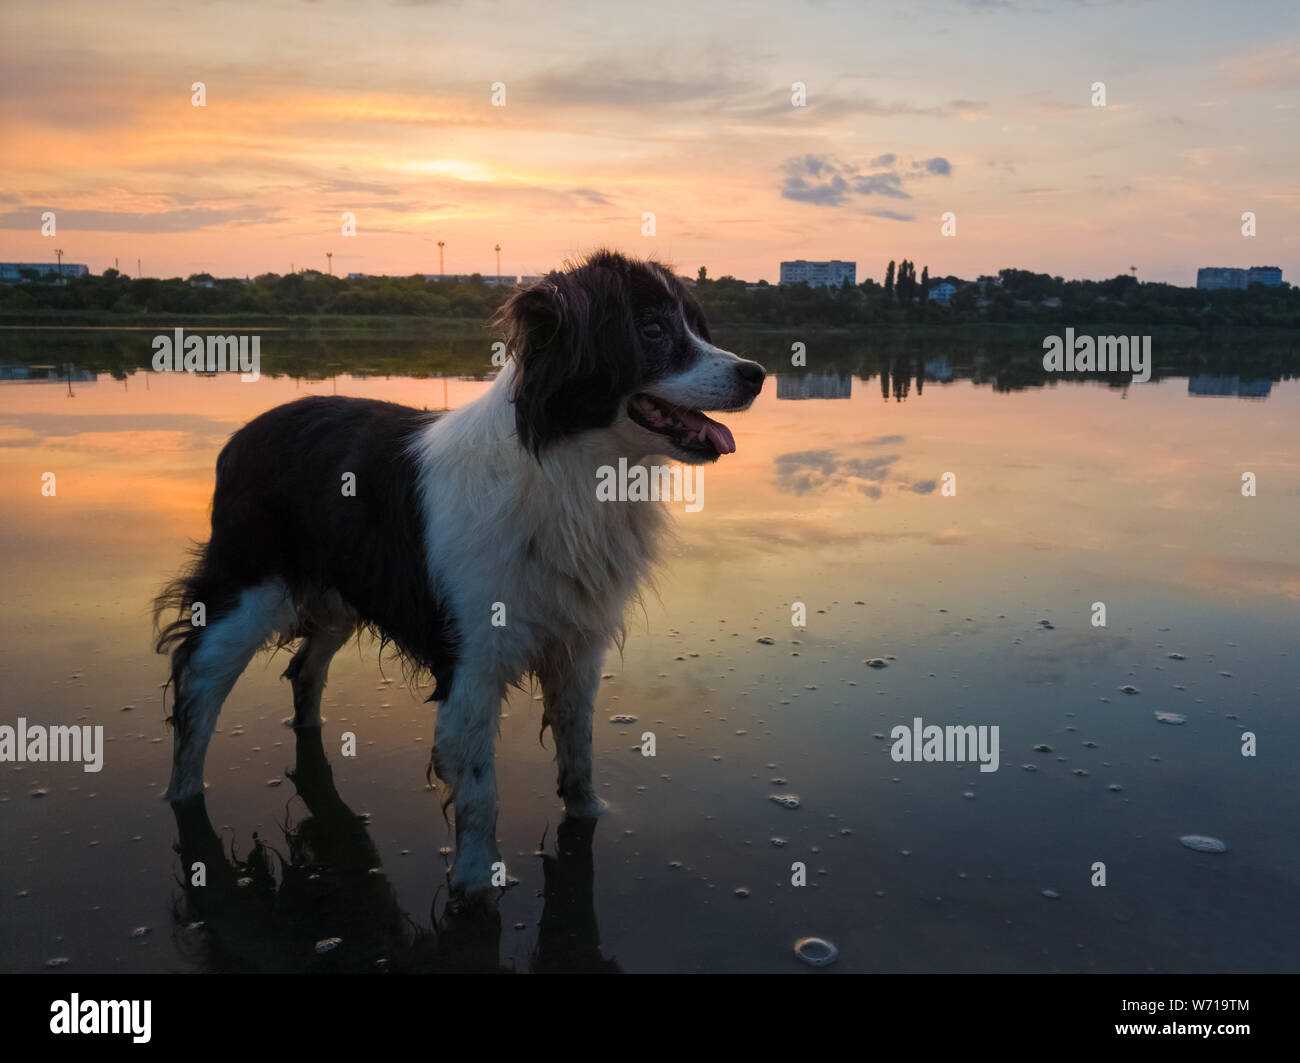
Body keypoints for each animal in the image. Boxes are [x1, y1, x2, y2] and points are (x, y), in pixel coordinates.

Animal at [154, 248, 759, 904]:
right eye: (651, 331)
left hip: (338, 599)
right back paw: (183, 799)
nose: (755, 373)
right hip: (248, 593)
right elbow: (478, 792)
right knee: (197, 685)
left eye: (697, 326)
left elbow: (579, 751)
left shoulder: (576, 644)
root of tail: (242, 434)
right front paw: (475, 884)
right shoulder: (472, 659)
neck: (570, 471)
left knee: (304, 669)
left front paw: (591, 815)